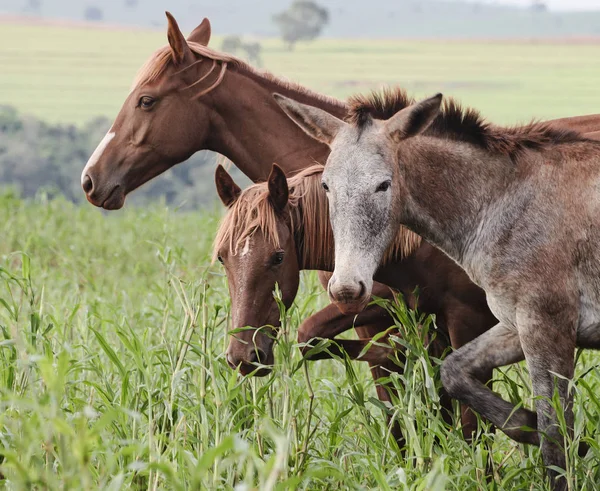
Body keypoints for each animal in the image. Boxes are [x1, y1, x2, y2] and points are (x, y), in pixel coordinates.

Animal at [276, 87, 600, 488]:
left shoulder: (546, 328)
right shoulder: (515, 326)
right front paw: (525, 425)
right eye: (326, 186)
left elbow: (555, 435)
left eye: (383, 184)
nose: (347, 289)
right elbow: (454, 373)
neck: (505, 202)